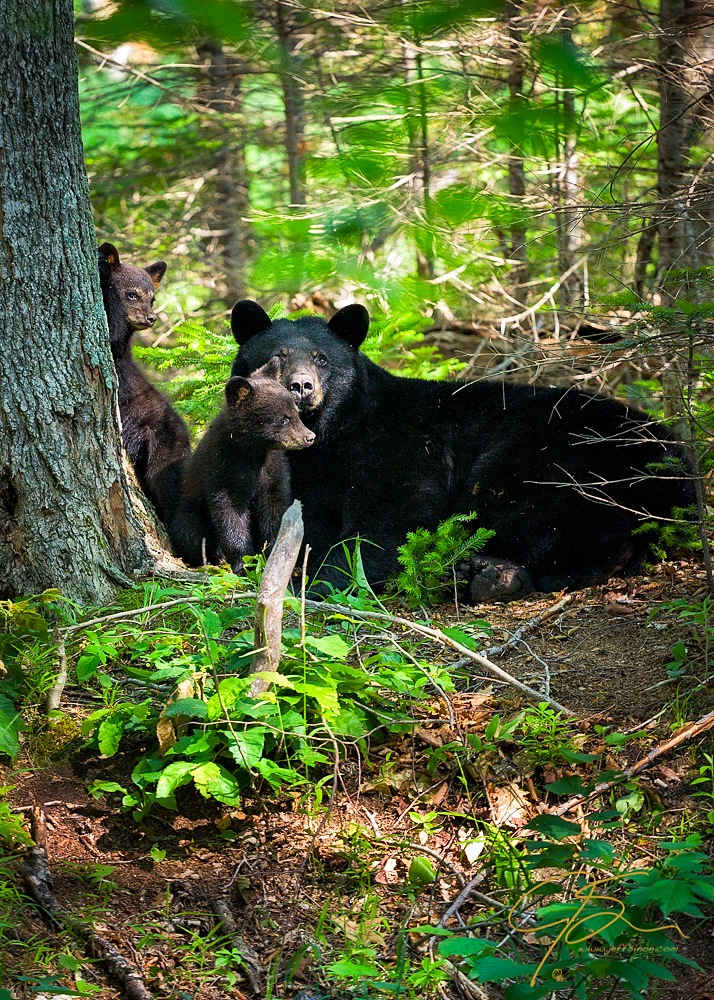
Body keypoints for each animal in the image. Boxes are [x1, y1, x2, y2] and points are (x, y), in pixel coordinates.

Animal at [170, 358, 314, 576]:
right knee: (192, 535)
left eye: (296, 413)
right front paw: (243, 563)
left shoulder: (273, 469)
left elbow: (274, 507)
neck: (253, 452)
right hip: (190, 516)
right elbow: (230, 515)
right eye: (283, 419)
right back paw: (215, 557)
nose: (310, 437)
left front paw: (275, 555)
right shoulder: (222, 468)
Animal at [229, 300, 696, 600]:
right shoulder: (312, 471)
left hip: (547, 456)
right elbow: (303, 516)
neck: (332, 435)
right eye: (275, 356)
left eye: (322, 357)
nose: (301, 386)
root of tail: (676, 463)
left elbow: (394, 512)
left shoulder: (403, 443)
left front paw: (322, 578)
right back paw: (485, 575)